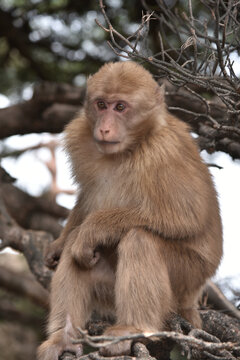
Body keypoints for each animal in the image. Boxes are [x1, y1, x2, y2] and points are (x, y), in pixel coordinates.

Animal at [38, 62, 223, 360]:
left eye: (121, 107)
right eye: (102, 104)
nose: (104, 128)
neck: (130, 147)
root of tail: (192, 299)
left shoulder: (165, 152)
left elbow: (185, 217)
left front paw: (94, 228)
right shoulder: (80, 137)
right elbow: (87, 200)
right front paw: (58, 244)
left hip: (186, 278)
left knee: (140, 238)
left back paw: (134, 328)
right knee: (80, 254)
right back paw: (63, 338)